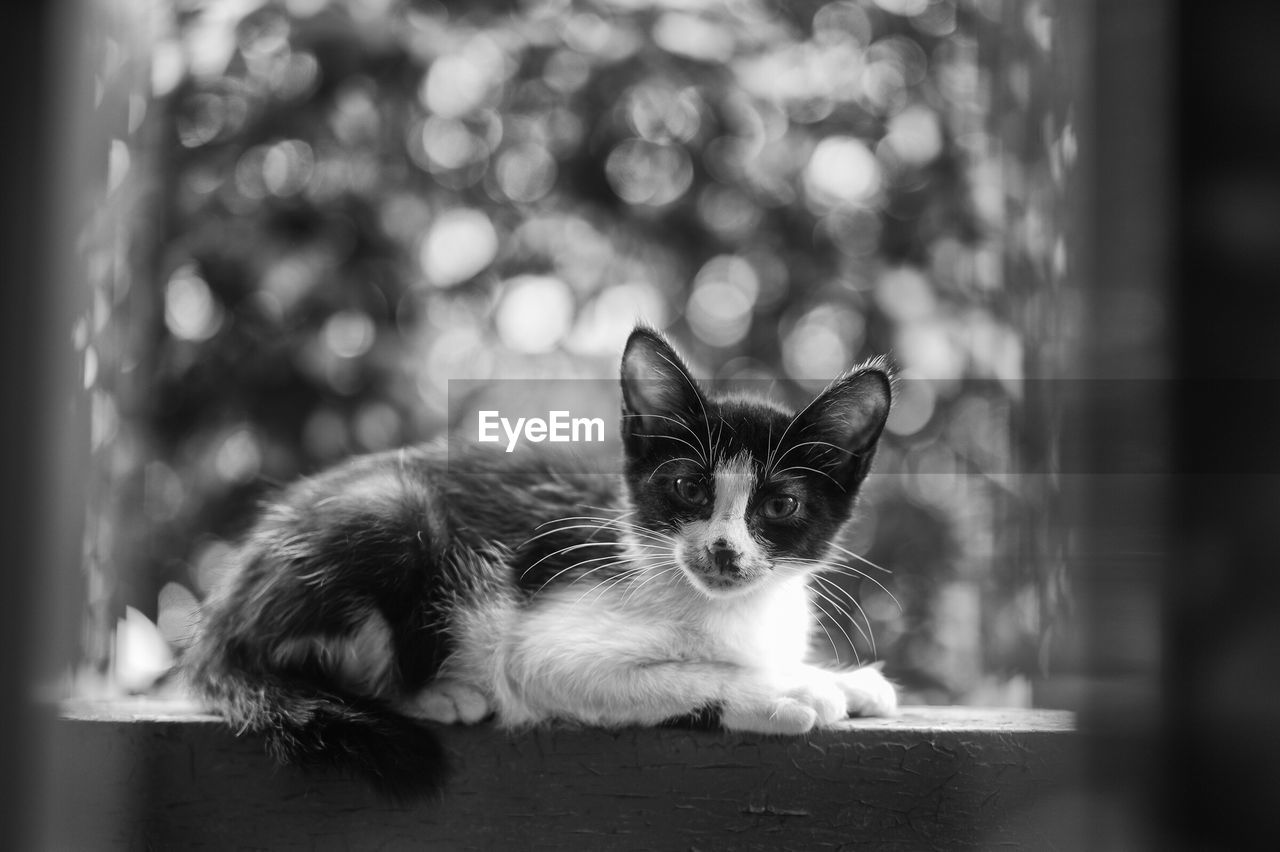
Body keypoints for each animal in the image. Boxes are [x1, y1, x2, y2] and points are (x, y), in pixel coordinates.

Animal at [185, 326, 896, 798]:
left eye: (781, 504)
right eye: (689, 488)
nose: (723, 550)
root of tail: (222, 619)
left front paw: (841, 679)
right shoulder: (542, 650)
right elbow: (681, 675)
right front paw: (786, 691)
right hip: (387, 512)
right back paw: (440, 692)